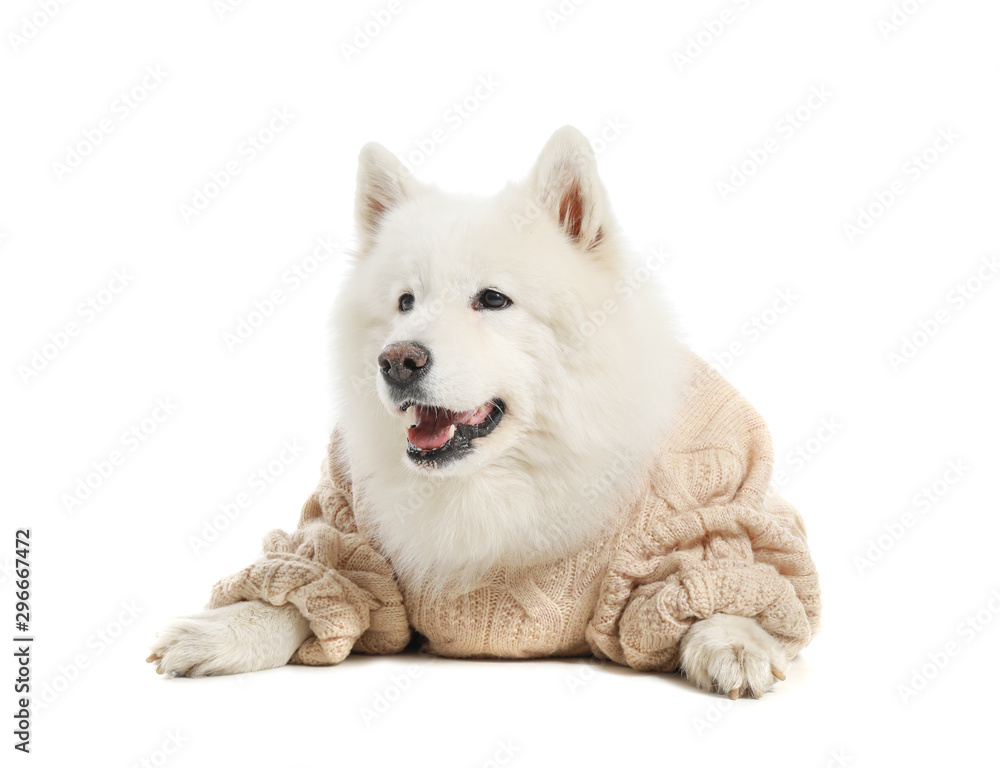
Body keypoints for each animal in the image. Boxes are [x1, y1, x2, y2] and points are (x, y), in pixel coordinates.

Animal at [150, 127, 820, 704]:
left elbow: (723, 579)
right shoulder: (346, 530)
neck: (495, 483)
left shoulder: (708, 516)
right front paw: (221, 632)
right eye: (405, 302)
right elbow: (312, 585)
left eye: (493, 300)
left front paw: (732, 644)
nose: (397, 360)